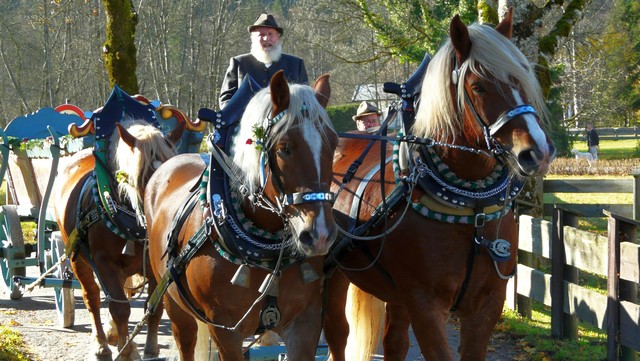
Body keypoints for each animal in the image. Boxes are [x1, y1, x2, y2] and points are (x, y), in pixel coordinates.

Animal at [54, 92, 188, 358]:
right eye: (142, 177)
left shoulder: (154, 265)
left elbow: (153, 307)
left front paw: (150, 347)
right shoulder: (103, 261)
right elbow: (120, 308)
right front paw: (127, 351)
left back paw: (114, 334)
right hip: (77, 257)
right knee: (93, 297)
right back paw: (101, 343)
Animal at [145, 70, 340, 360]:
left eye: (334, 143)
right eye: (284, 148)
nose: (320, 235)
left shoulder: (305, 323)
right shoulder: (225, 330)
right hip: (173, 303)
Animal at [324, 8, 556, 360]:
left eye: (521, 77)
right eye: (478, 87)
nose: (537, 152)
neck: (470, 206)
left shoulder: (487, 304)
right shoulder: (425, 304)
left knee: (394, 342)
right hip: (331, 273)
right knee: (336, 332)